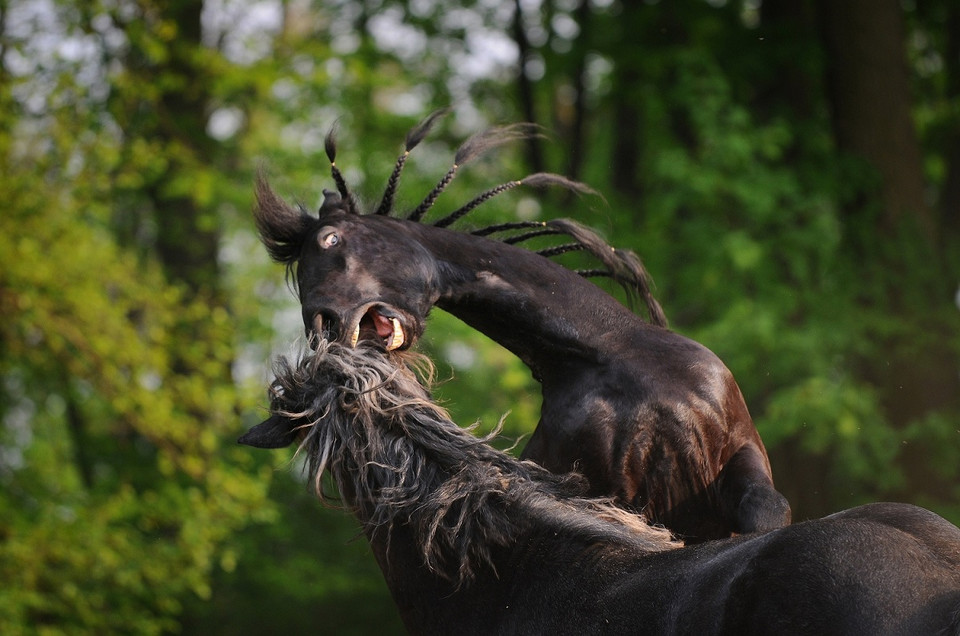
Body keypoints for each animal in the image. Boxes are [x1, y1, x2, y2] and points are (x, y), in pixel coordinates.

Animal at [253, 115, 788, 540]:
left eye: (331, 238)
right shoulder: (616, 489)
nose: (320, 328)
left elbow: (767, 511)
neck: (606, 354)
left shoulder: (742, 449)